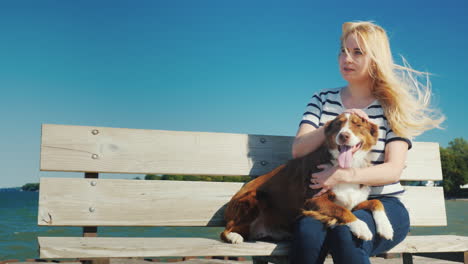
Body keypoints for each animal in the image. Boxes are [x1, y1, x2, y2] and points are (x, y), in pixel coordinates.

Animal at [221, 112, 394, 244]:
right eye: (338, 125)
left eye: (358, 125)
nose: (343, 136)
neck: (345, 167)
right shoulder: (313, 200)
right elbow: (341, 210)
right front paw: (361, 226)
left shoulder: (353, 201)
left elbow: (375, 202)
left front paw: (386, 227)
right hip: (255, 197)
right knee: (226, 230)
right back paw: (234, 236)